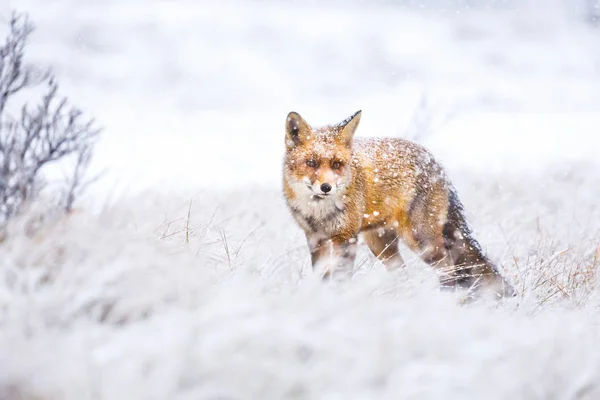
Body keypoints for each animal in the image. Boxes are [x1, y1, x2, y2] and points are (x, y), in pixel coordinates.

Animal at [282, 111, 516, 298]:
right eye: (311, 163)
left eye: (336, 164)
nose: (326, 187)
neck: (318, 212)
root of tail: (435, 162)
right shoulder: (316, 239)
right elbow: (321, 277)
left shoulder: (346, 238)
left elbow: (340, 278)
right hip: (381, 245)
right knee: (403, 272)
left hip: (420, 241)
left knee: (448, 267)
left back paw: (445, 300)